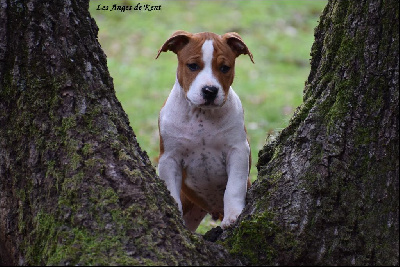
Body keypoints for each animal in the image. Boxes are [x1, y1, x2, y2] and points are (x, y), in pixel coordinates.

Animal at [156, 31, 253, 232]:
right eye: (193, 66)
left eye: (224, 68)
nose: (210, 90)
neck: (201, 115)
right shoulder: (168, 158)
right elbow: (171, 194)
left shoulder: (238, 151)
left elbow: (234, 187)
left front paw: (233, 216)